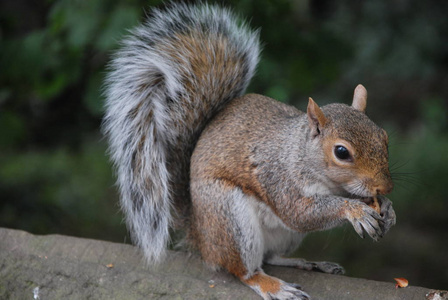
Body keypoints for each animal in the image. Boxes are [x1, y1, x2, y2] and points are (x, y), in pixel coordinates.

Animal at [104, 2, 396, 300]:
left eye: (384, 137)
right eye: (341, 152)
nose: (385, 187)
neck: (301, 154)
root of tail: (201, 238)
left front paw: (387, 207)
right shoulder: (278, 178)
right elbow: (299, 213)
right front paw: (355, 210)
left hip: (283, 236)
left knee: (271, 256)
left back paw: (309, 263)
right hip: (230, 218)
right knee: (244, 270)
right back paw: (273, 285)